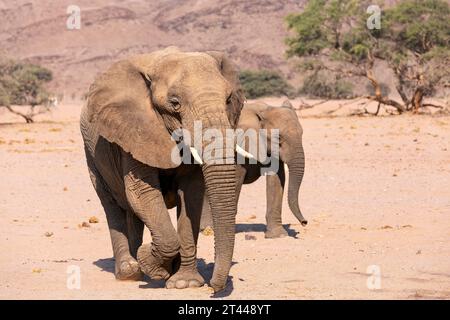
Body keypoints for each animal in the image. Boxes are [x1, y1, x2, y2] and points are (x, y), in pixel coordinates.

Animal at [79, 47, 244, 292]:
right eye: (174, 103)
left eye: (228, 99)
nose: (214, 287)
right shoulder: (134, 131)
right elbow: (143, 193)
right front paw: (153, 265)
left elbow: (191, 196)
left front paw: (183, 282)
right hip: (91, 154)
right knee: (112, 205)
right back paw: (129, 271)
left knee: (133, 212)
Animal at [200, 100, 306, 238]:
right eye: (279, 138)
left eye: (302, 134)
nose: (304, 222)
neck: (264, 111)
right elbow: (233, 180)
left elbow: (276, 181)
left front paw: (278, 235)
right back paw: (208, 230)